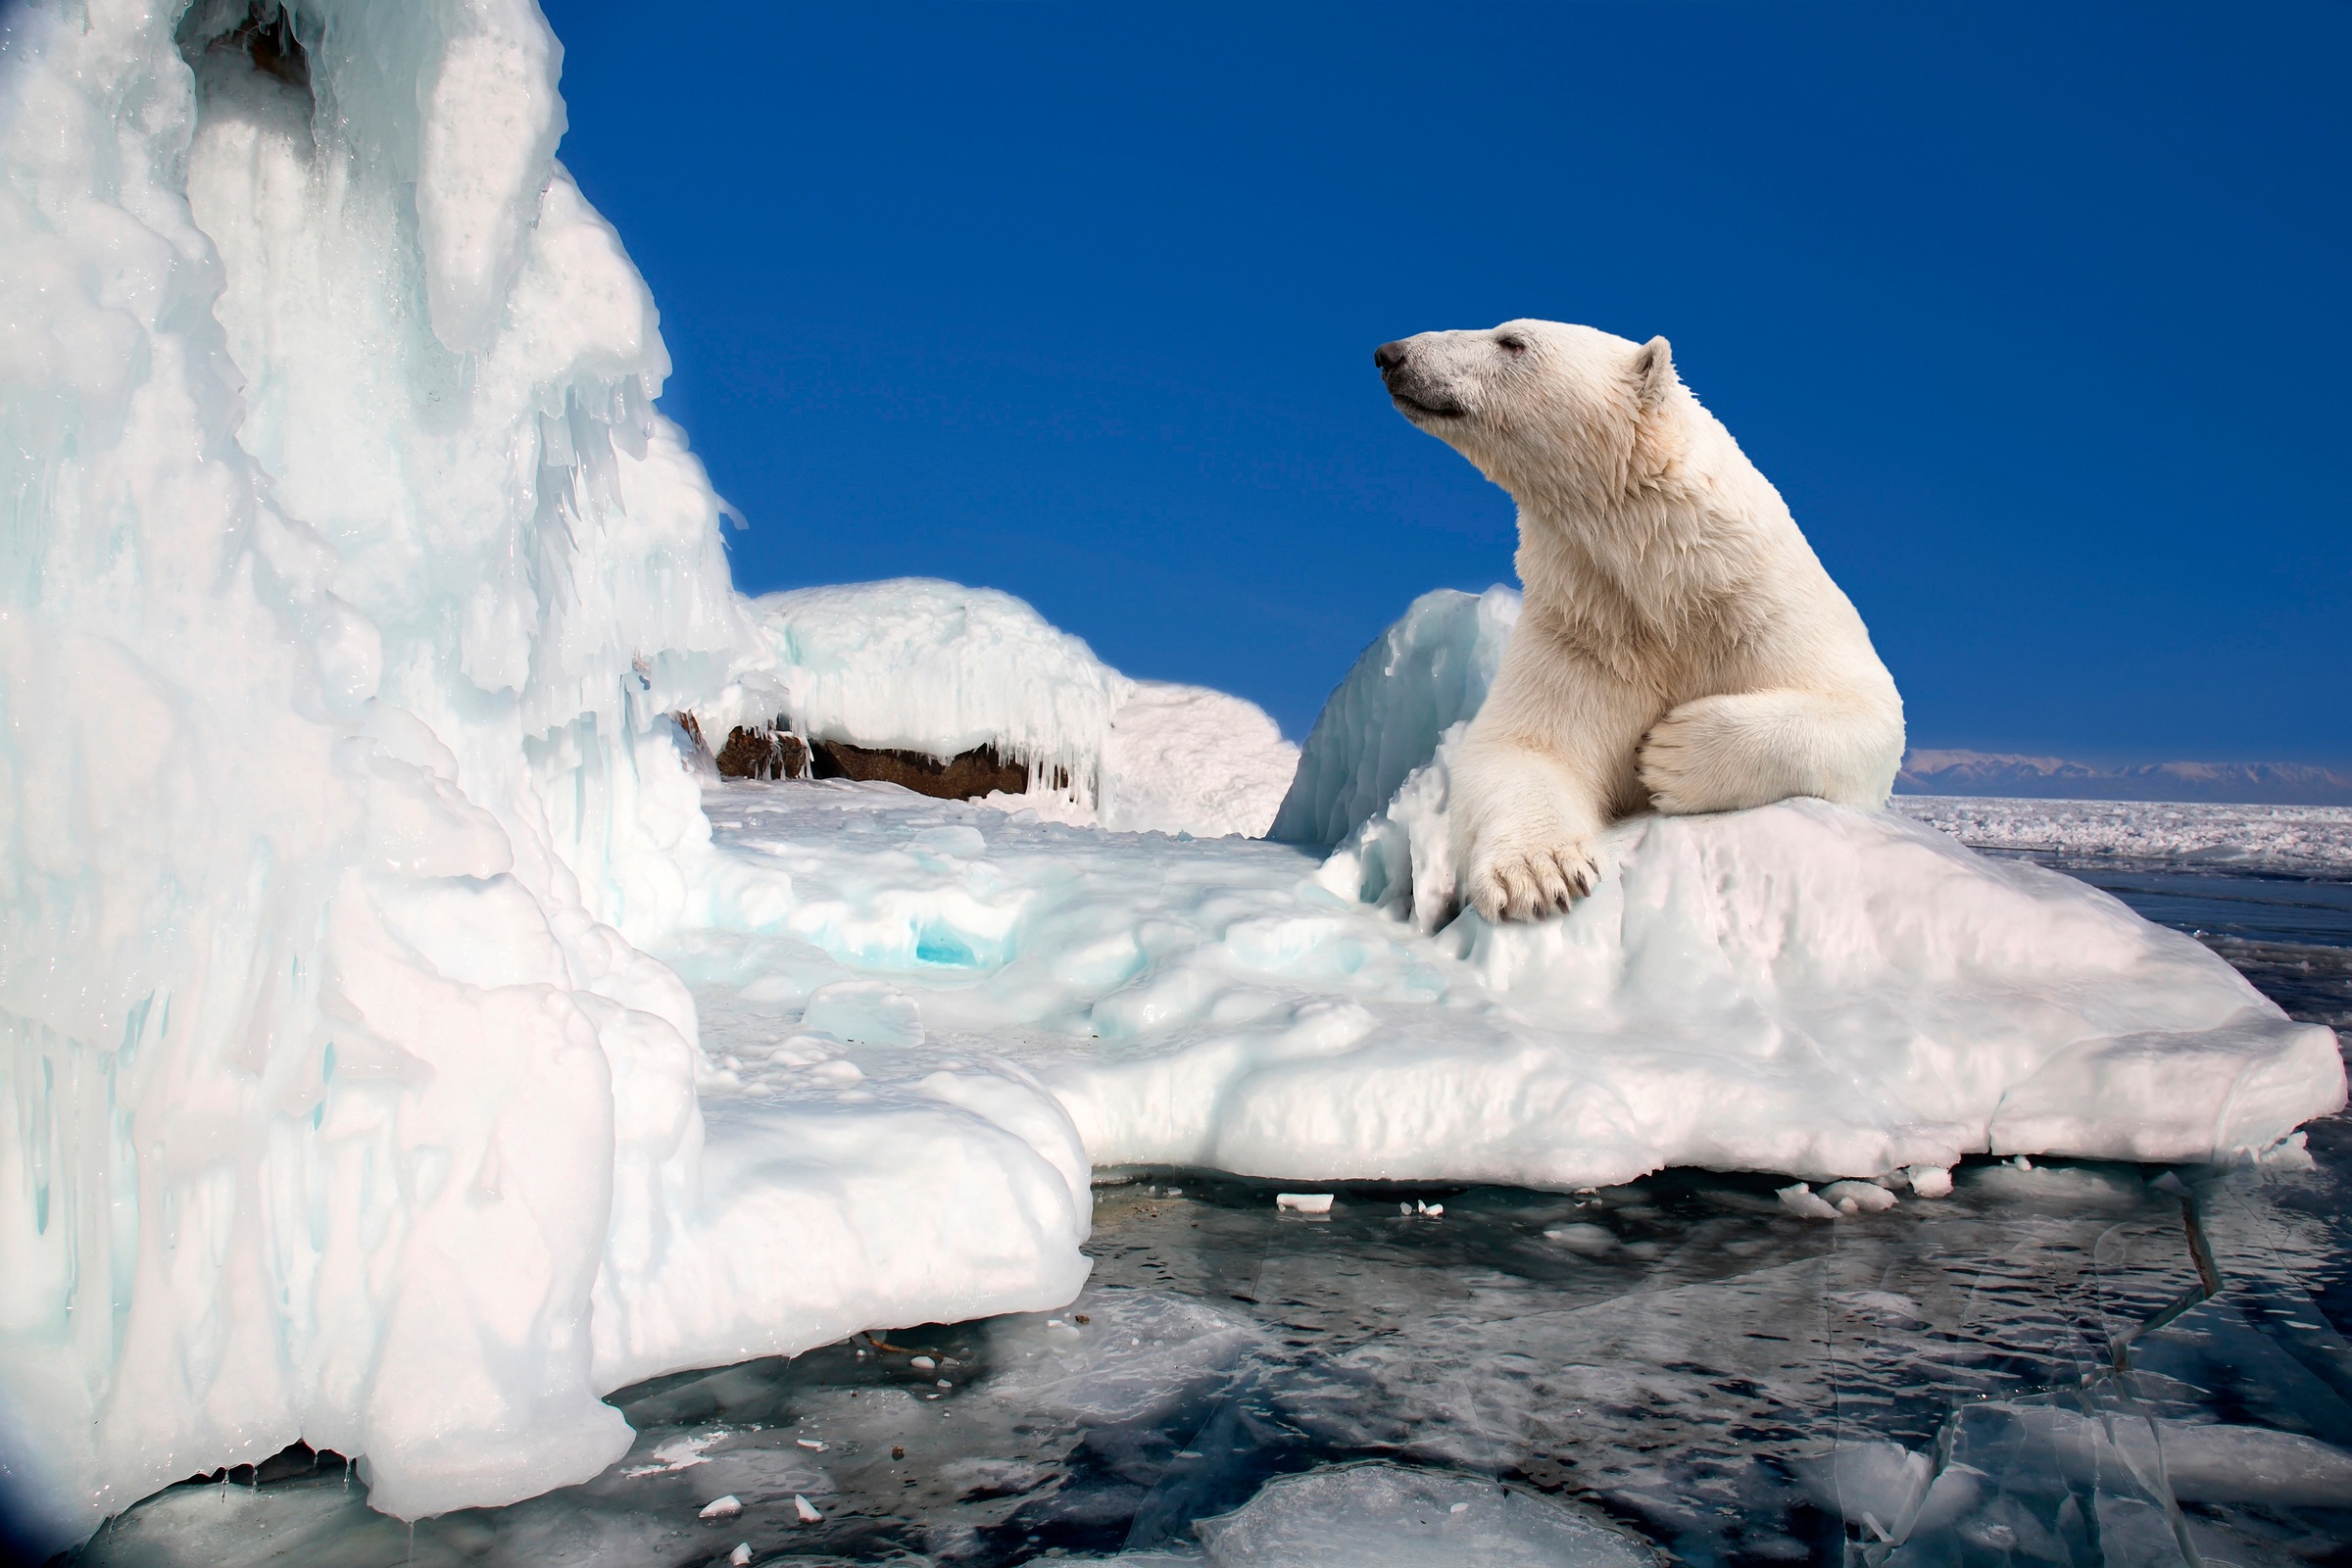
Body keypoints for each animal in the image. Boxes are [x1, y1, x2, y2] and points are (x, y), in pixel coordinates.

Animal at [1374, 319, 1905, 922]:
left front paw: (1671, 753)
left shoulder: (1766, 608)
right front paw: (1539, 873)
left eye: (1512, 340)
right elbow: (1525, 745)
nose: (1391, 354)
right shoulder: (1585, 627)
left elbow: (1867, 710)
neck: (1669, 585)